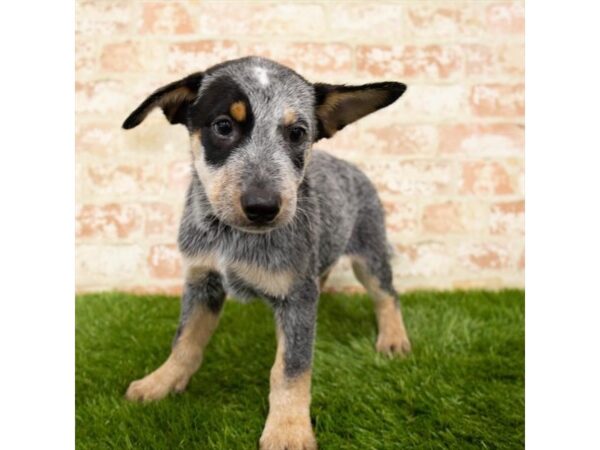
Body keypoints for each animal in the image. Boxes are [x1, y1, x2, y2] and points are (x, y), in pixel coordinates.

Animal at [122, 56, 412, 450]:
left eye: (297, 133)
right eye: (223, 126)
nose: (262, 206)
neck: (234, 240)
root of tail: (351, 168)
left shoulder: (297, 297)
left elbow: (291, 367)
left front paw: (288, 429)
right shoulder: (202, 281)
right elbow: (184, 340)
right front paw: (161, 382)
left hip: (369, 252)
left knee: (387, 294)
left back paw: (393, 338)